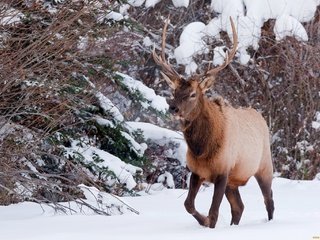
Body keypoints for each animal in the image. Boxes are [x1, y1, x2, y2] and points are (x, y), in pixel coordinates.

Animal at [154, 17, 274, 228]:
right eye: (174, 91)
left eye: (193, 94)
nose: (173, 108)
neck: (202, 150)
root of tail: (261, 117)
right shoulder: (197, 172)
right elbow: (188, 205)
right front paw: (202, 220)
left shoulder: (223, 171)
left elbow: (214, 212)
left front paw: (207, 221)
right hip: (234, 182)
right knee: (239, 207)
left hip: (265, 166)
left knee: (269, 201)